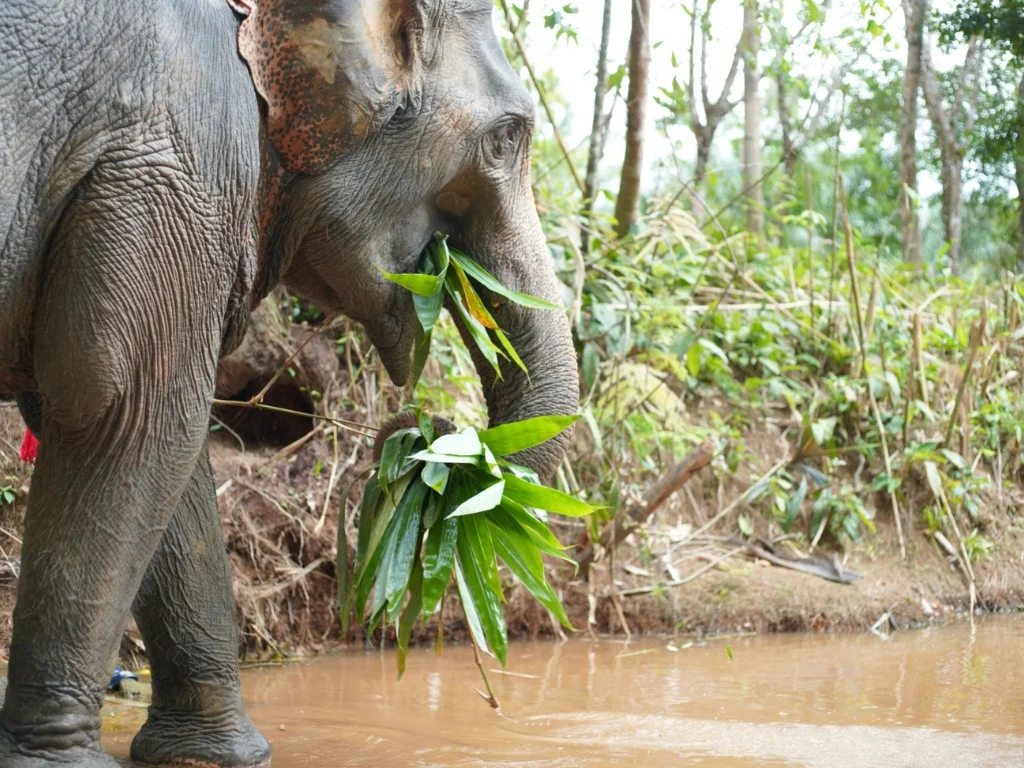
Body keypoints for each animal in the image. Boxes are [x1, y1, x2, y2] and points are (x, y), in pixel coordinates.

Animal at [0, 0, 579, 765]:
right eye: (507, 136)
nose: (422, 429)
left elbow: (168, 453)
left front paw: (218, 754)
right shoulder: (175, 170)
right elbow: (125, 418)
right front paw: (57, 761)